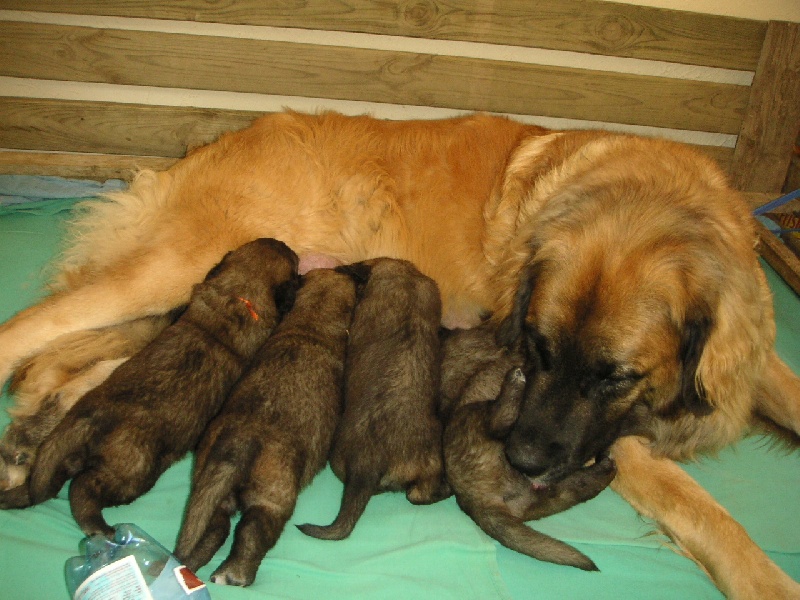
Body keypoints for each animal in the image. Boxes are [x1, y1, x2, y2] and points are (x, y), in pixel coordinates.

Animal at [27, 237, 300, 536]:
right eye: (291, 258)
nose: (281, 241)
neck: (237, 292)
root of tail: (91, 418)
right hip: (129, 472)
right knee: (82, 487)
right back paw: (101, 526)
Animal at [175, 268, 356, 584]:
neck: (312, 320)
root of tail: (239, 443)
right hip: (273, 497)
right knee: (252, 533)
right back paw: (234, 574)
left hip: (209, 488)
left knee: (214, 528)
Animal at [440, 324, 616, 572]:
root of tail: (477, 502)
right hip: (475, 418)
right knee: (502, 415)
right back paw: (515, 381)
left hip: (542, 494)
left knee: (577, 487)